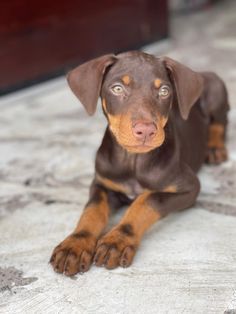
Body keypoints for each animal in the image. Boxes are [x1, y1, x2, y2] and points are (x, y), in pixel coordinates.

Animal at [49, 51, 229, 274]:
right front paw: (75, 244)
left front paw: (116, 240)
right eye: (117, 88)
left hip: (216, 88)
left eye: (164, 91)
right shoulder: (102, 183)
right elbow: (92, 211)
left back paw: (215, 148)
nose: (146, 130)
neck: (133, 160)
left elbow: (146, 201)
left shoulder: (189, 187)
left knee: (220, 122)